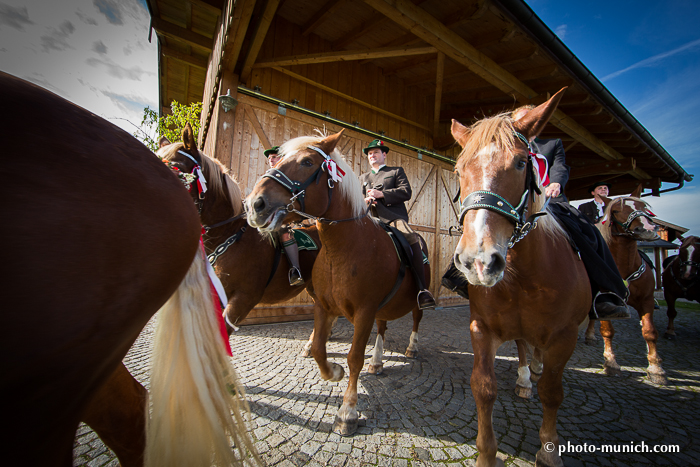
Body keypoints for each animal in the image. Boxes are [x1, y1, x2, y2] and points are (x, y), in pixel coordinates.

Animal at [243, 131, 430, 436]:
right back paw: (378, 362)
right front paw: (334, 372)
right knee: (383, 328)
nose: (254, 205)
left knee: (416, 317)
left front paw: (348, 411)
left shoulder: (365, 311)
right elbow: (320, 348)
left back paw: (412, 347)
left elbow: (354, 357)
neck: (343, 247)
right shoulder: (324, 306)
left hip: (415, 298)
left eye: (307, 162)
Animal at [448, 88, 592, 467]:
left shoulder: (564, 335)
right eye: (458, 170)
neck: (525, 275)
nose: (478, 261)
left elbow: (553, 393)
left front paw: (549, 450)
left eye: (520, 163)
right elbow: (483, 387)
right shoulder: (482, 328)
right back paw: (527, 378)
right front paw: (486, 455)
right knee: (526, 349)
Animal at [580, 188, 668, 386]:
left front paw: (656, 369)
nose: (647, 229)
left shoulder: (646, 301)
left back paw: (590, 336)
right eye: (616, 211)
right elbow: (608, 331)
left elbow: (650, 332)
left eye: (644, 206)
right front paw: (611, 363)